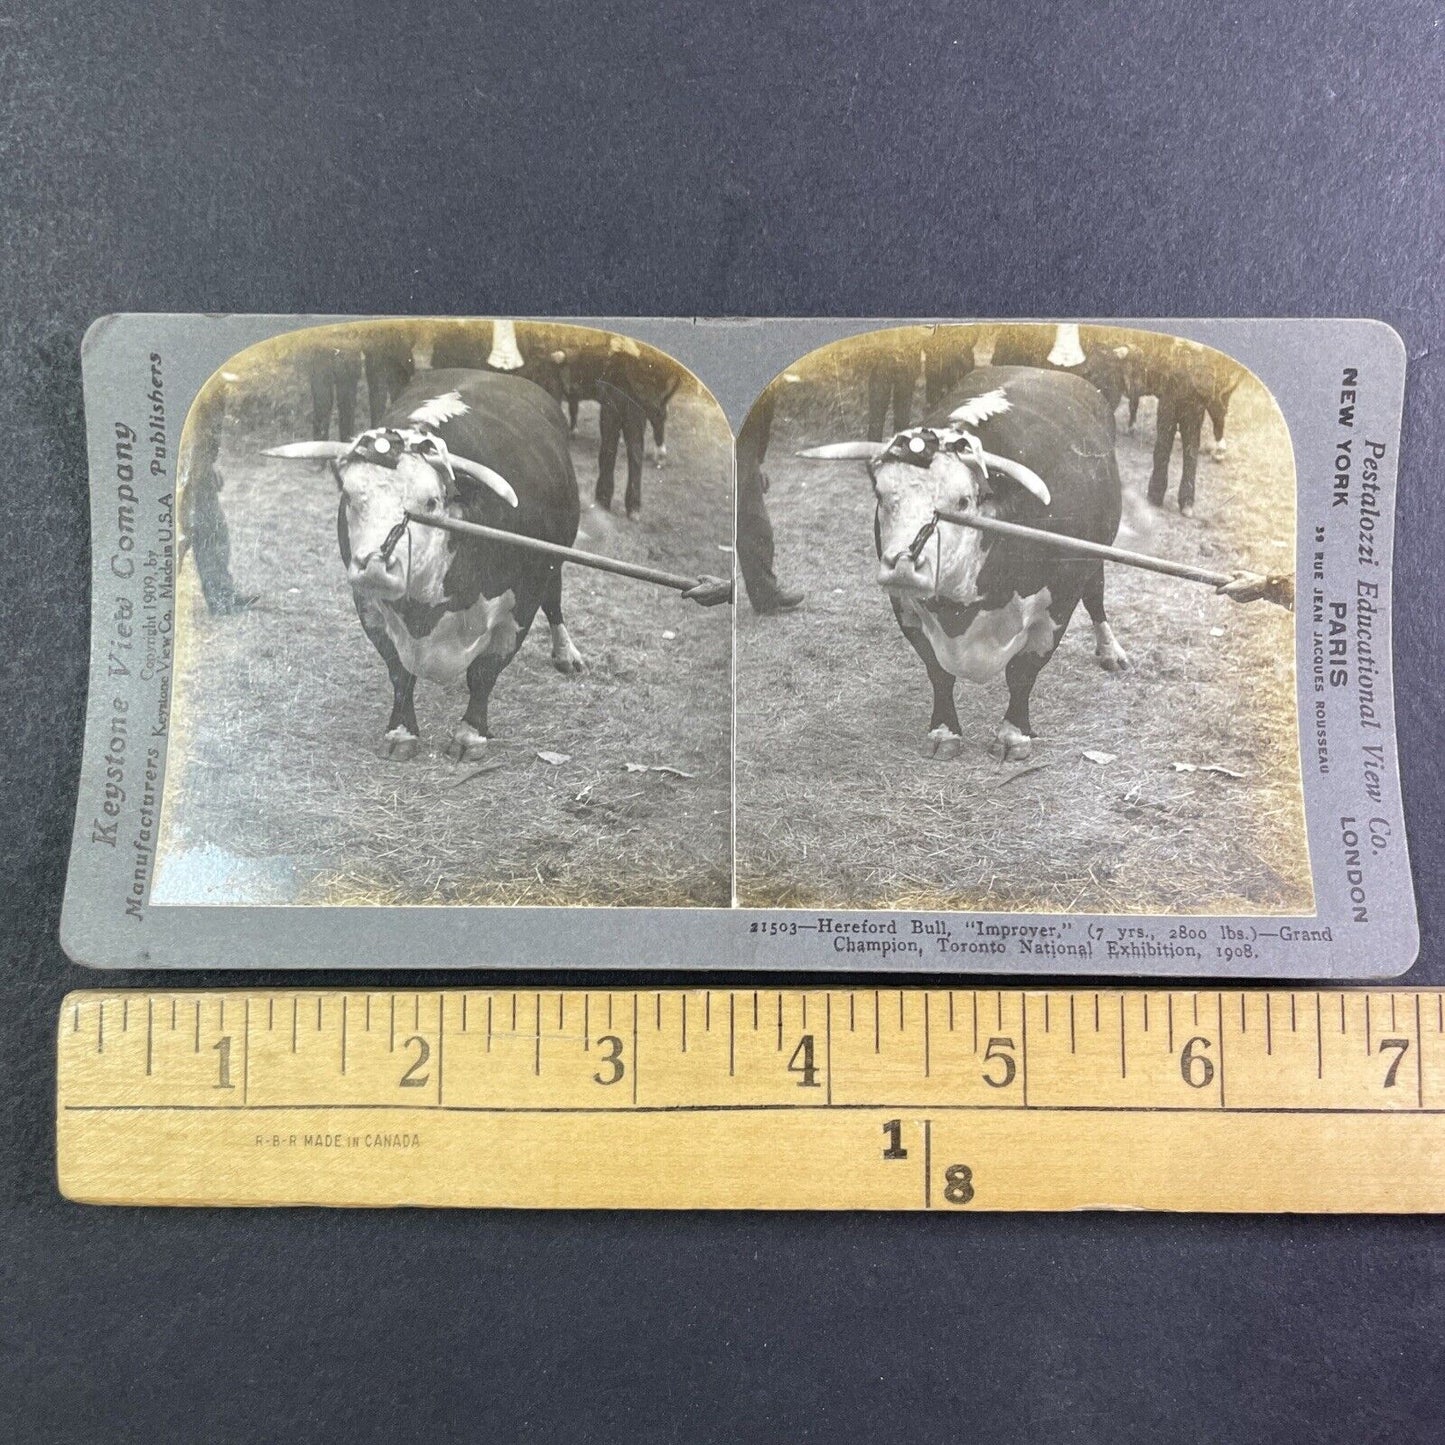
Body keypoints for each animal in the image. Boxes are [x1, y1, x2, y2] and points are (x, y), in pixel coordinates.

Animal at [260, 367, 580, 762]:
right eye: (349, 496)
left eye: (430, 503)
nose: (375, 566)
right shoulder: (368, 604)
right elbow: (399, 670)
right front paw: (401, 731)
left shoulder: (523, 598)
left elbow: (485, 672)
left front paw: (470, 734)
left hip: (556, 559)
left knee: (555, 599)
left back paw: (566, 653)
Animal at [803, 367, 1127, 762]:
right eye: (881, 495)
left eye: (961, 502)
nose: (902, 566)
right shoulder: (905, 605)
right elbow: (938, 672)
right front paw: (944, 731)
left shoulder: (1059, 601)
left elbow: (1023, 672)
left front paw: (1013, 734)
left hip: (1095, 556)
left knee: (1096, 595)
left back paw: (1111, 651)